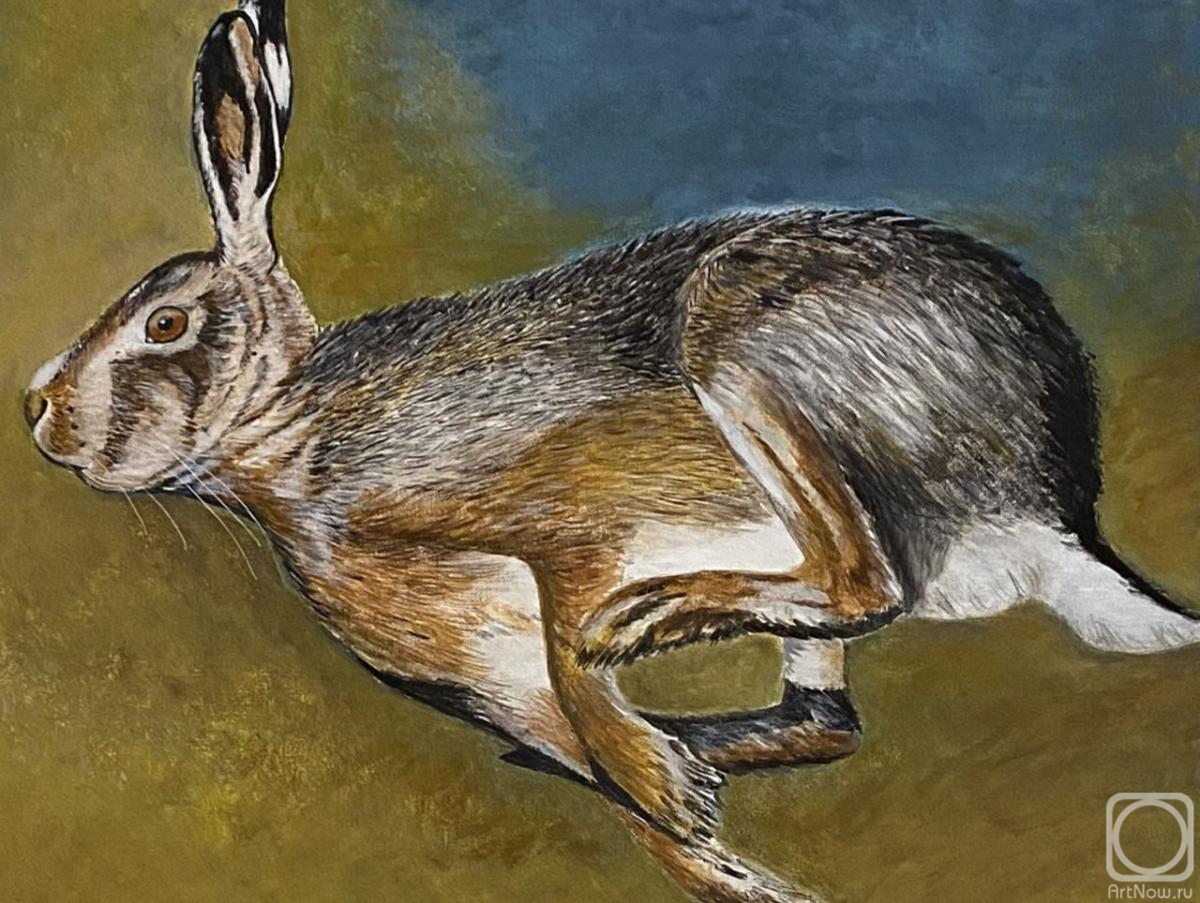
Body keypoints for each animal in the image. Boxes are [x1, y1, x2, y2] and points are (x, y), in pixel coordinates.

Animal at [23, 1, 1200, 901]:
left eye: (165, 325)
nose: (38, 411)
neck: (285, 423)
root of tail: (1051, 509)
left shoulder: (558, 532)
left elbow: (573, 650)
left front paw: (661, 778)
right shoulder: (489, 665)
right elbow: (602, 763)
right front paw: (687, 821)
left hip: (750, 354)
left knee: (860, 582)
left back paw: (657, 627)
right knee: (829, 711)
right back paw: (691, 745)